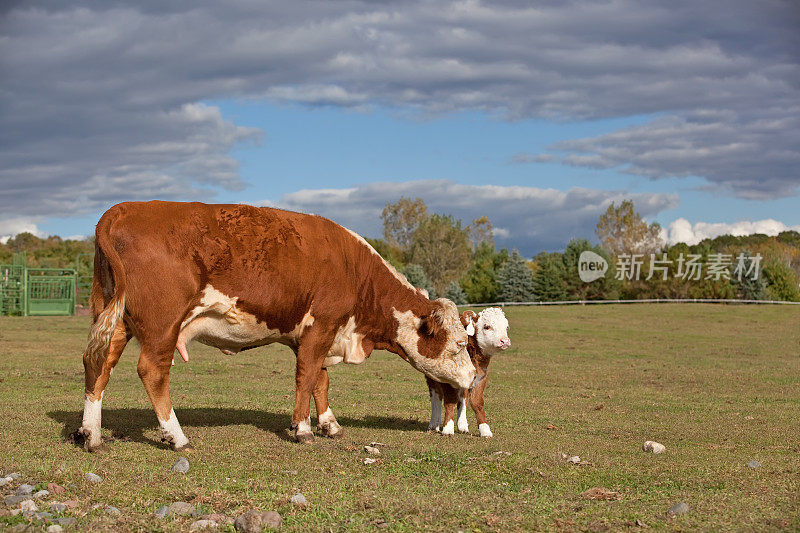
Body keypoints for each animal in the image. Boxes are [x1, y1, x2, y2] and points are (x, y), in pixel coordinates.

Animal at [76, 200, 476, 448]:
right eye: (459, 344)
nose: (474, 377)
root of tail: (124, 209)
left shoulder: (314, 335)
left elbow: (320, 381)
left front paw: (330, 424)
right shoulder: (322, 326)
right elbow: (306, 377)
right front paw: (303, 429)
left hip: (115, 319)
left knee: (98, 364)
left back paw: (91, 434)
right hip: (163, 323)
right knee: (152, 371)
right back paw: (177, 437)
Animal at [428, 308, 510, 436]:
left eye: (506, 327)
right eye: (487, 327)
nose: (505, 341)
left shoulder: (481, 377)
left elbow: (477, 403)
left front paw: (485, 429)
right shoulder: (446, 378)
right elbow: (450, 401)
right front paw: (448, 428)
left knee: (462, 397)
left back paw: (462, 425)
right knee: (436, 397)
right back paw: (434, 424)